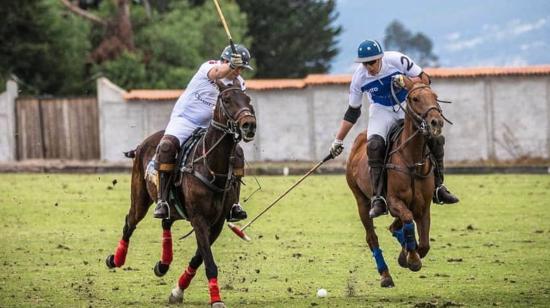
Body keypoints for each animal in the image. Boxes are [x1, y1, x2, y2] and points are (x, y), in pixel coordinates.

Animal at [105, 80, 256, 308]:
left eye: (248, 99)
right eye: (227, 99)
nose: (249, 125)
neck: (212, 167)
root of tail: (142, 144)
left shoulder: (217, 222)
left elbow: (199, 258)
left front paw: (178, 290)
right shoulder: (199, 219)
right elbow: (209, 262)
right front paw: (216, 300)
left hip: (173, 205)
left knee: (165, 220)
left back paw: (163, 264)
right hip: (140, 198)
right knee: (129, 222)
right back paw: (116, 259)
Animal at [350, 77, 448, 288]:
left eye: (435, 96)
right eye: (415, 98)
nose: (436, 122)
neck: (412, 160)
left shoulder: (423, 207)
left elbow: (424, 243)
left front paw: (408, 256)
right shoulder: (394, 202)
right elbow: (408, 221)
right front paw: (411, 259)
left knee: (394, 227)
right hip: (361, 201)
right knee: (372, 236)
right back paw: (385, 275)